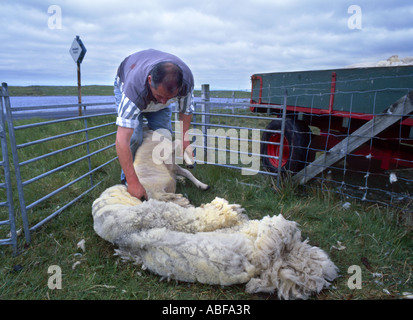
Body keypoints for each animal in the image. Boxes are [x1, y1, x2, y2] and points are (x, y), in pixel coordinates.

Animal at [91, 129, 336, 298]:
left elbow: (185, 172)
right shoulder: (168, 157)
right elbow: (181, 155)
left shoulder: (170, 166)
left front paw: (197, 181)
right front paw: (193, 166)